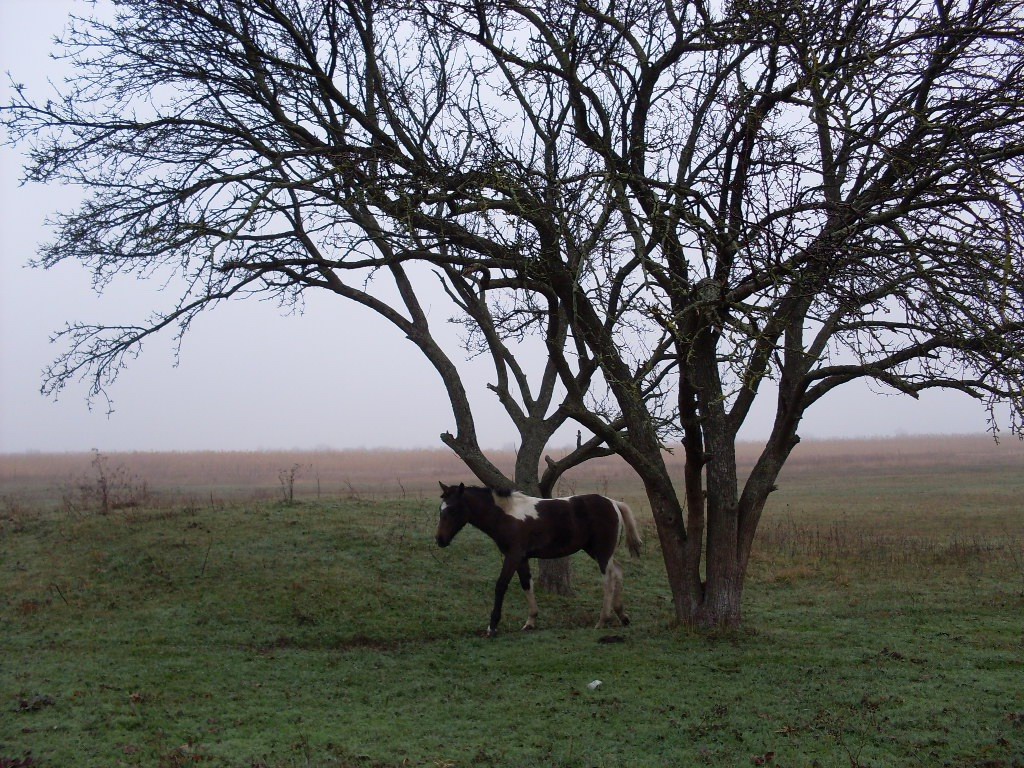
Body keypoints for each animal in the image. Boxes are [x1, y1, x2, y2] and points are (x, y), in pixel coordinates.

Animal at [436, 483, 643, 638]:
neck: (506, 514)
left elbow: (501, 585)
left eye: (453, 509)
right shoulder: (521, 558)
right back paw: (622, 615)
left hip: (602, 552)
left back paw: (602, 620)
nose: (440, 540)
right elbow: (526, 584)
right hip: (598, 551)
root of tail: (614, 503)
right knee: (618, 572)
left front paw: (492, 627)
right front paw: (530, 622)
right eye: (441, 509)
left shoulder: (512, 556)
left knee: (608, 579)